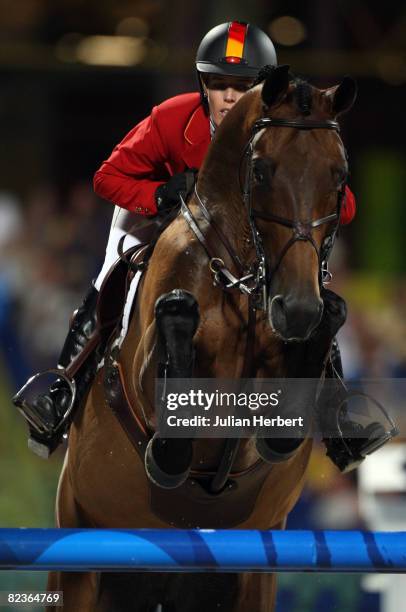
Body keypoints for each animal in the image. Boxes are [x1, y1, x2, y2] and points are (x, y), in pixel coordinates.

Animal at [47, 67, 356, 612]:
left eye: (339, 177)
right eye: (261, 171)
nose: (298, 309)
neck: (240, 273)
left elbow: (281, 428)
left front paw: (325, 318)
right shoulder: (142, 378)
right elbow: (170, 402)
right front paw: (178, 311)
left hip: (248, 579)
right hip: (79, 558)